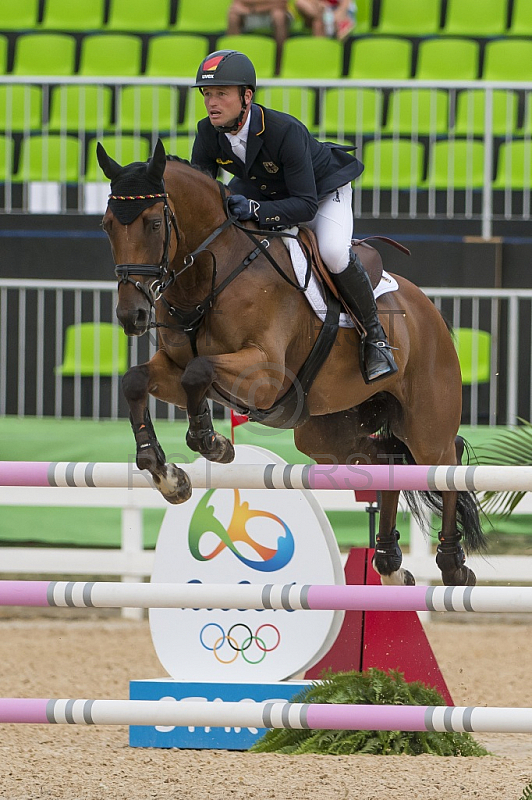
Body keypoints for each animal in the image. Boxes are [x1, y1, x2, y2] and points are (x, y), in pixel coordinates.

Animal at [97, 139, 484, 588]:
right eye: (107, 225)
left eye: (155, 224)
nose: (132, 316)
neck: (209, 276)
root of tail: (429, 311)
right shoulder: (175, 367)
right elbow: (136, 380)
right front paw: (164, 473)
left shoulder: (265, 375)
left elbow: (200, 372)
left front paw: (212, 443)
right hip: (327, 434)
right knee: (389, 459)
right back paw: (390, 564)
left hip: (425, 424)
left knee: (444, 466)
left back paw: (452, 563)